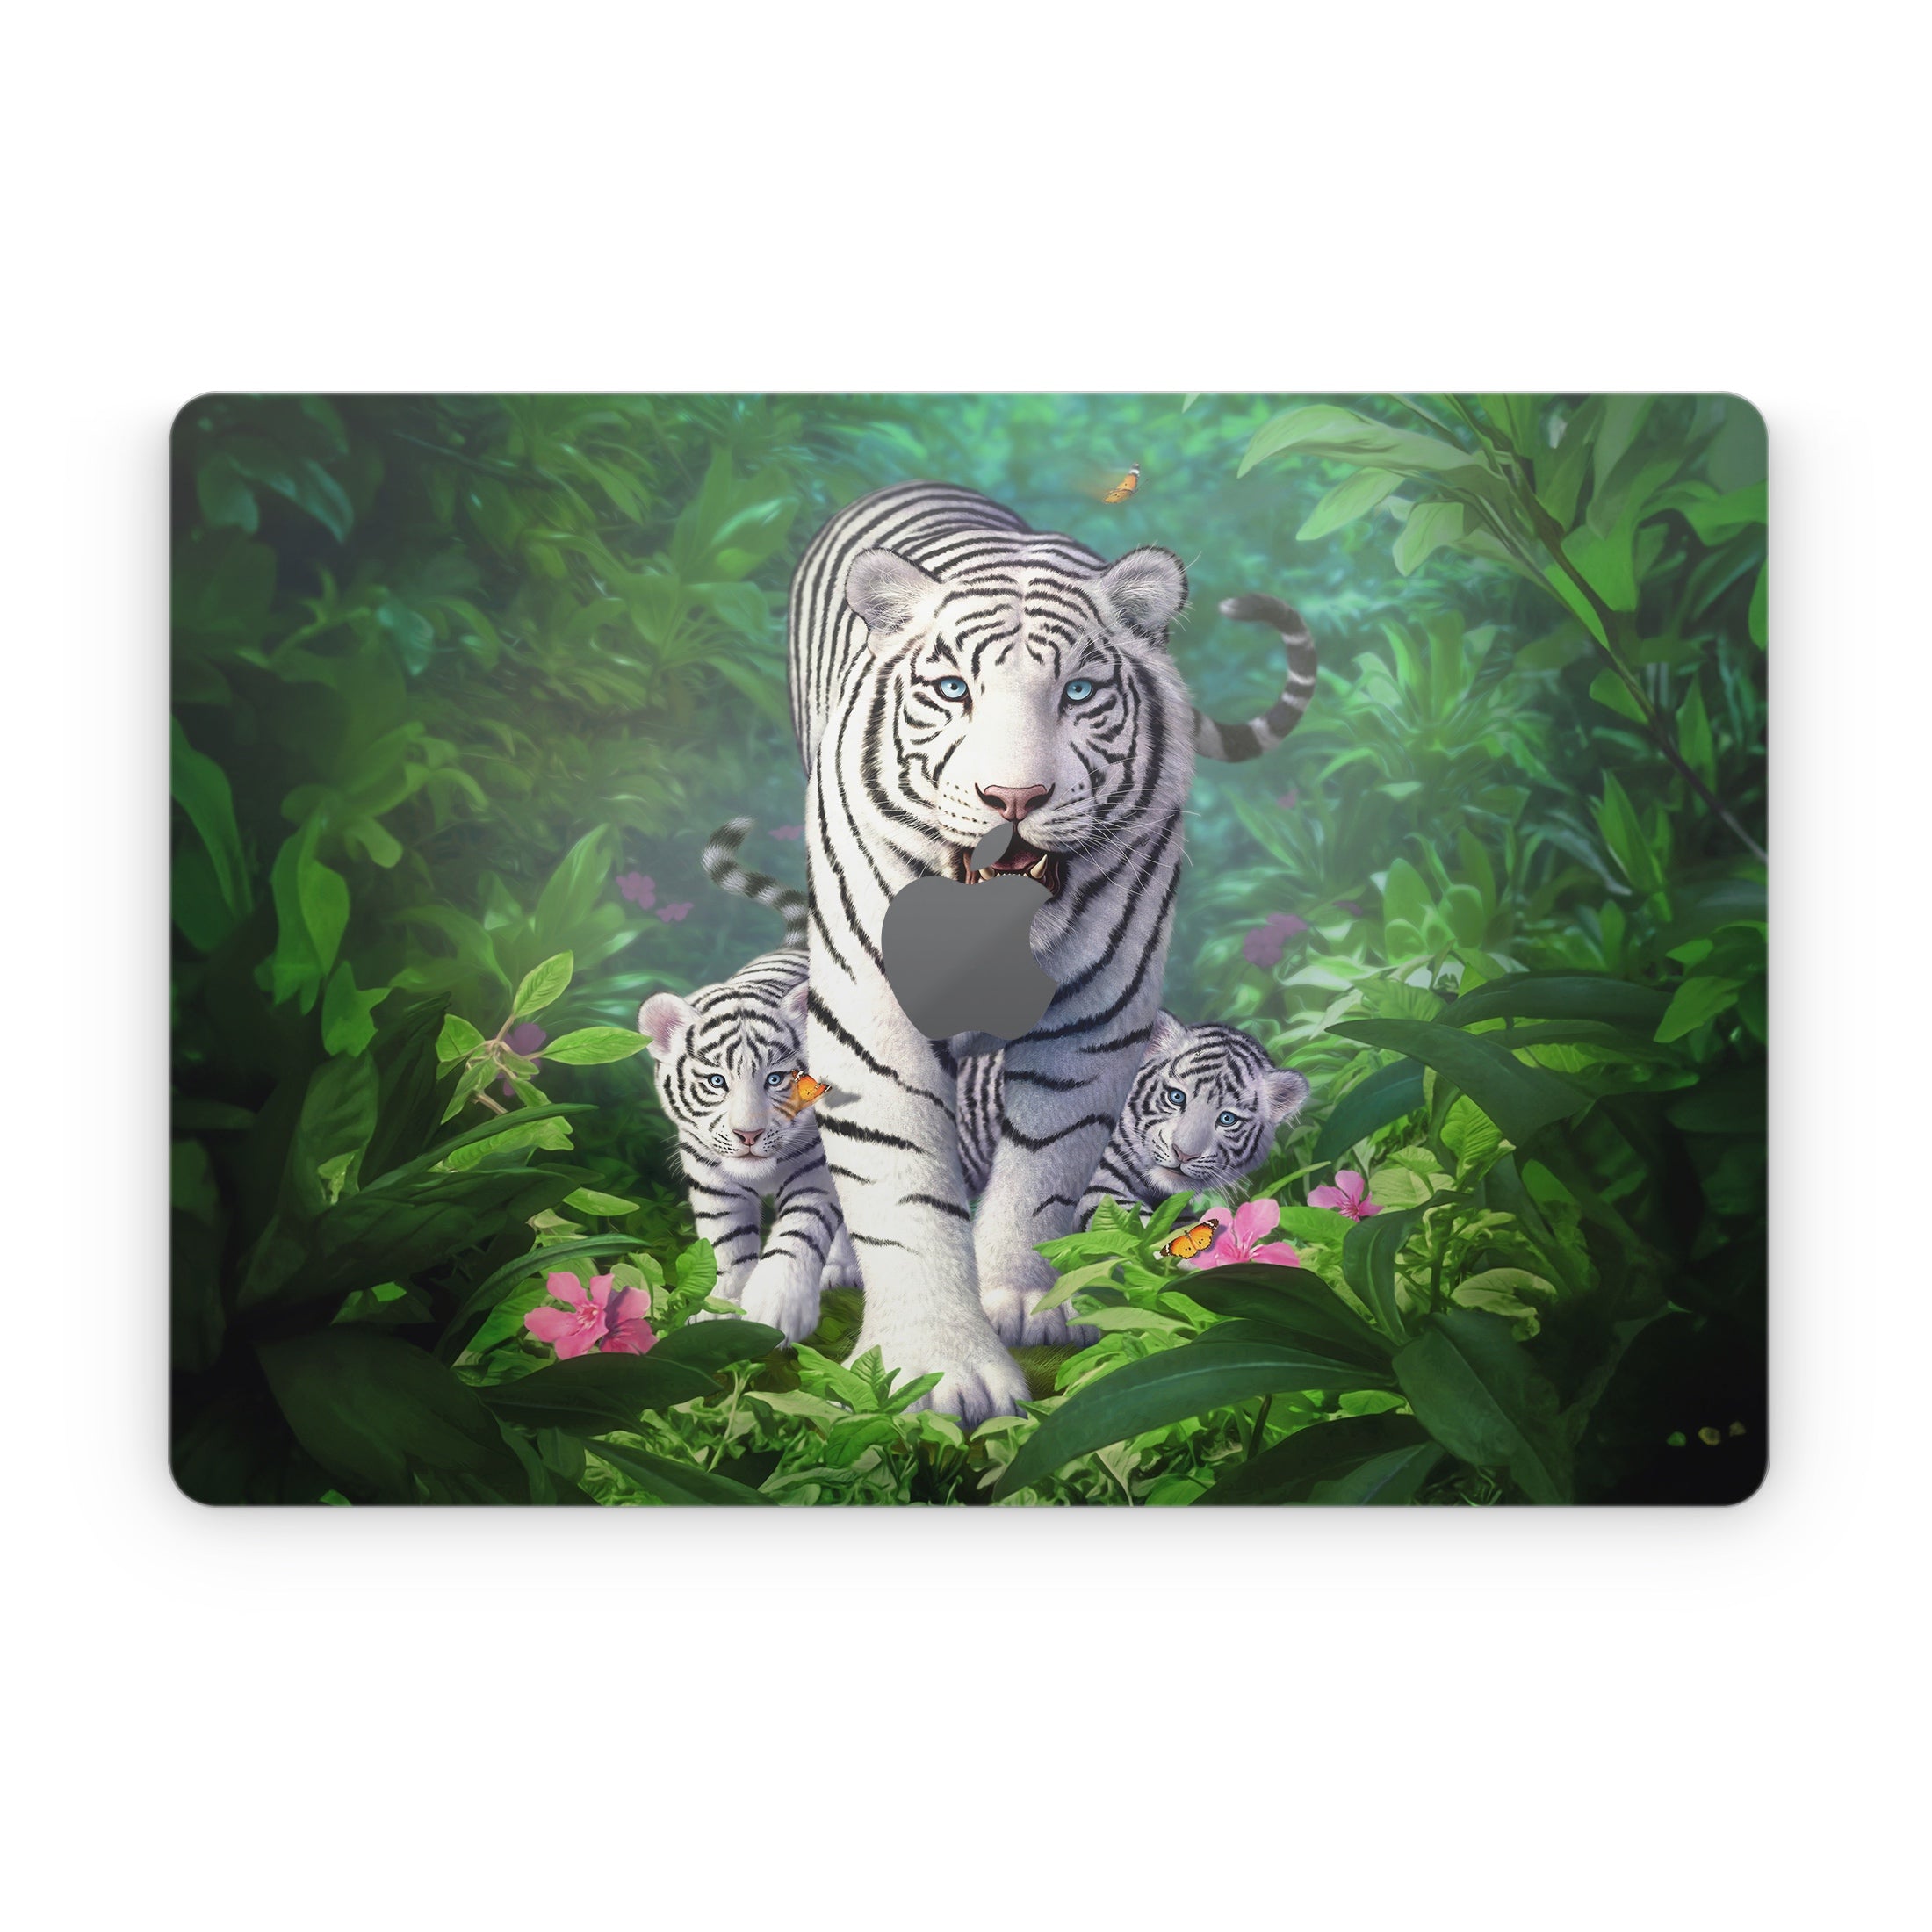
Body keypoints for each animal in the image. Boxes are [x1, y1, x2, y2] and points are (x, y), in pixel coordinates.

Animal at [637, 948, 859, 1344]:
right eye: (716, 1081)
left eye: (776, 1079)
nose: (748, 1135)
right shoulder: (714, 1183)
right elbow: (729, 1246)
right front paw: (720, 1313)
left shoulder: (815, 1172)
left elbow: (797, 1232)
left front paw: (777, 1310)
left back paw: (841, 1268)